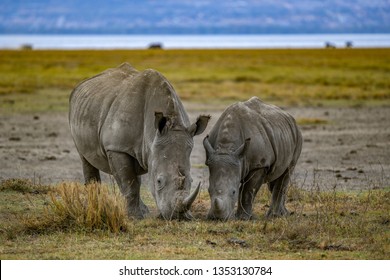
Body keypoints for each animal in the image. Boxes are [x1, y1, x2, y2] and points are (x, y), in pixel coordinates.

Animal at [70, 62, 210, 220]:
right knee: (85, 158)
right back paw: (95, 206)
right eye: (159, 181)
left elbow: (134, 181)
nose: (178, 217)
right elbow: (129, 184)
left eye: (191, 181)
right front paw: (134, 217)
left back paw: (144, 211)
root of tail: (81, 84)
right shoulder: (117, 147)